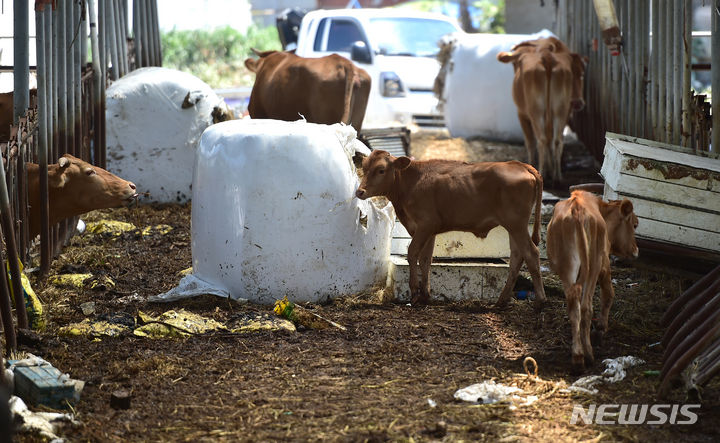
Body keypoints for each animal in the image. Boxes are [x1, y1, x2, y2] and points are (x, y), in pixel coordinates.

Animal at [354, 149, 544, 308]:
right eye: (364, 168)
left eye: (381, 170)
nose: (360, 192)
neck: (411, 182)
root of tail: (519, 164)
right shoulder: (430, 230)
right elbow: (426, 259)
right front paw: (425, 296)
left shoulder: (425, 224)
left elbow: (413, 253)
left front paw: (414, 293)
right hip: (513, 227)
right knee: (517, 256)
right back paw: (501, 301)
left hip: (517, 225)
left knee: (531, 253)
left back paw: (540, 301)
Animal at [498, 36, 588, 186]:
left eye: (581, 75)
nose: (577, 102)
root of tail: (547, 56)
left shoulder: (521, 114)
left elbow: (530, 142)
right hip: (559, 110)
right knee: (556, 140)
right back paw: (557, 177)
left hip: (536, 111)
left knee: (541, 139)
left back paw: (542, 173)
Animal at [548, 191, 640, 374]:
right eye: (634, 225)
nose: (636, 250)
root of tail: (577, 209)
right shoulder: (604, 265)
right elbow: (609, 294)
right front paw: (600, 330)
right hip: (594, 265)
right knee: (586, 307)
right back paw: (588, 355)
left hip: (567, 268)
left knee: (574, 306)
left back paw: (577, 356)